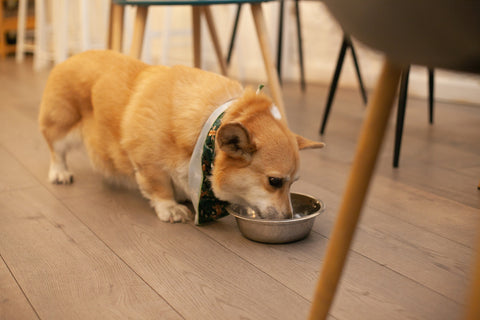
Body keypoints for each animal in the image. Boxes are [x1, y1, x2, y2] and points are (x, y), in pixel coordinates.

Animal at [39, 51, 324, 224]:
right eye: (274, 182)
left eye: (294, 183)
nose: (288, 217)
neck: (207, 128)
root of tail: (69, 58)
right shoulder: (149, 165)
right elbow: (159, 188)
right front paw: (171, 208)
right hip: (62, 127)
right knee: (55, 150)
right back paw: (59, 173)